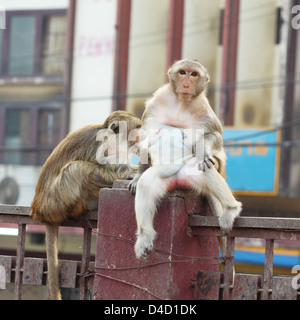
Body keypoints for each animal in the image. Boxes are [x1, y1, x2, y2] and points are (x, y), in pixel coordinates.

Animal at [31, 110, 141, 300]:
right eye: (138, 127)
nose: (143, 135)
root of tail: (42, 211)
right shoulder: (105, 147)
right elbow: (117, 169)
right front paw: (136, 173)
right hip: (59, 199)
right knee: (76, 168)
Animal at [129, 59, 241, 260]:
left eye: (194, 74)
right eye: (183, 72)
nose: (187, 83)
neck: (181, 102)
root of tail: (178, 181)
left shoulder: (204, 110)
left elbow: (215, 136)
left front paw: (203, 149)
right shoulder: (156, 103)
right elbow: (146, 137)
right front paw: (137, 175)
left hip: (188, 173)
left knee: (203, 169)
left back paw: (231, 209)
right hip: (164, 179)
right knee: (146, 186)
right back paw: (145, 237)